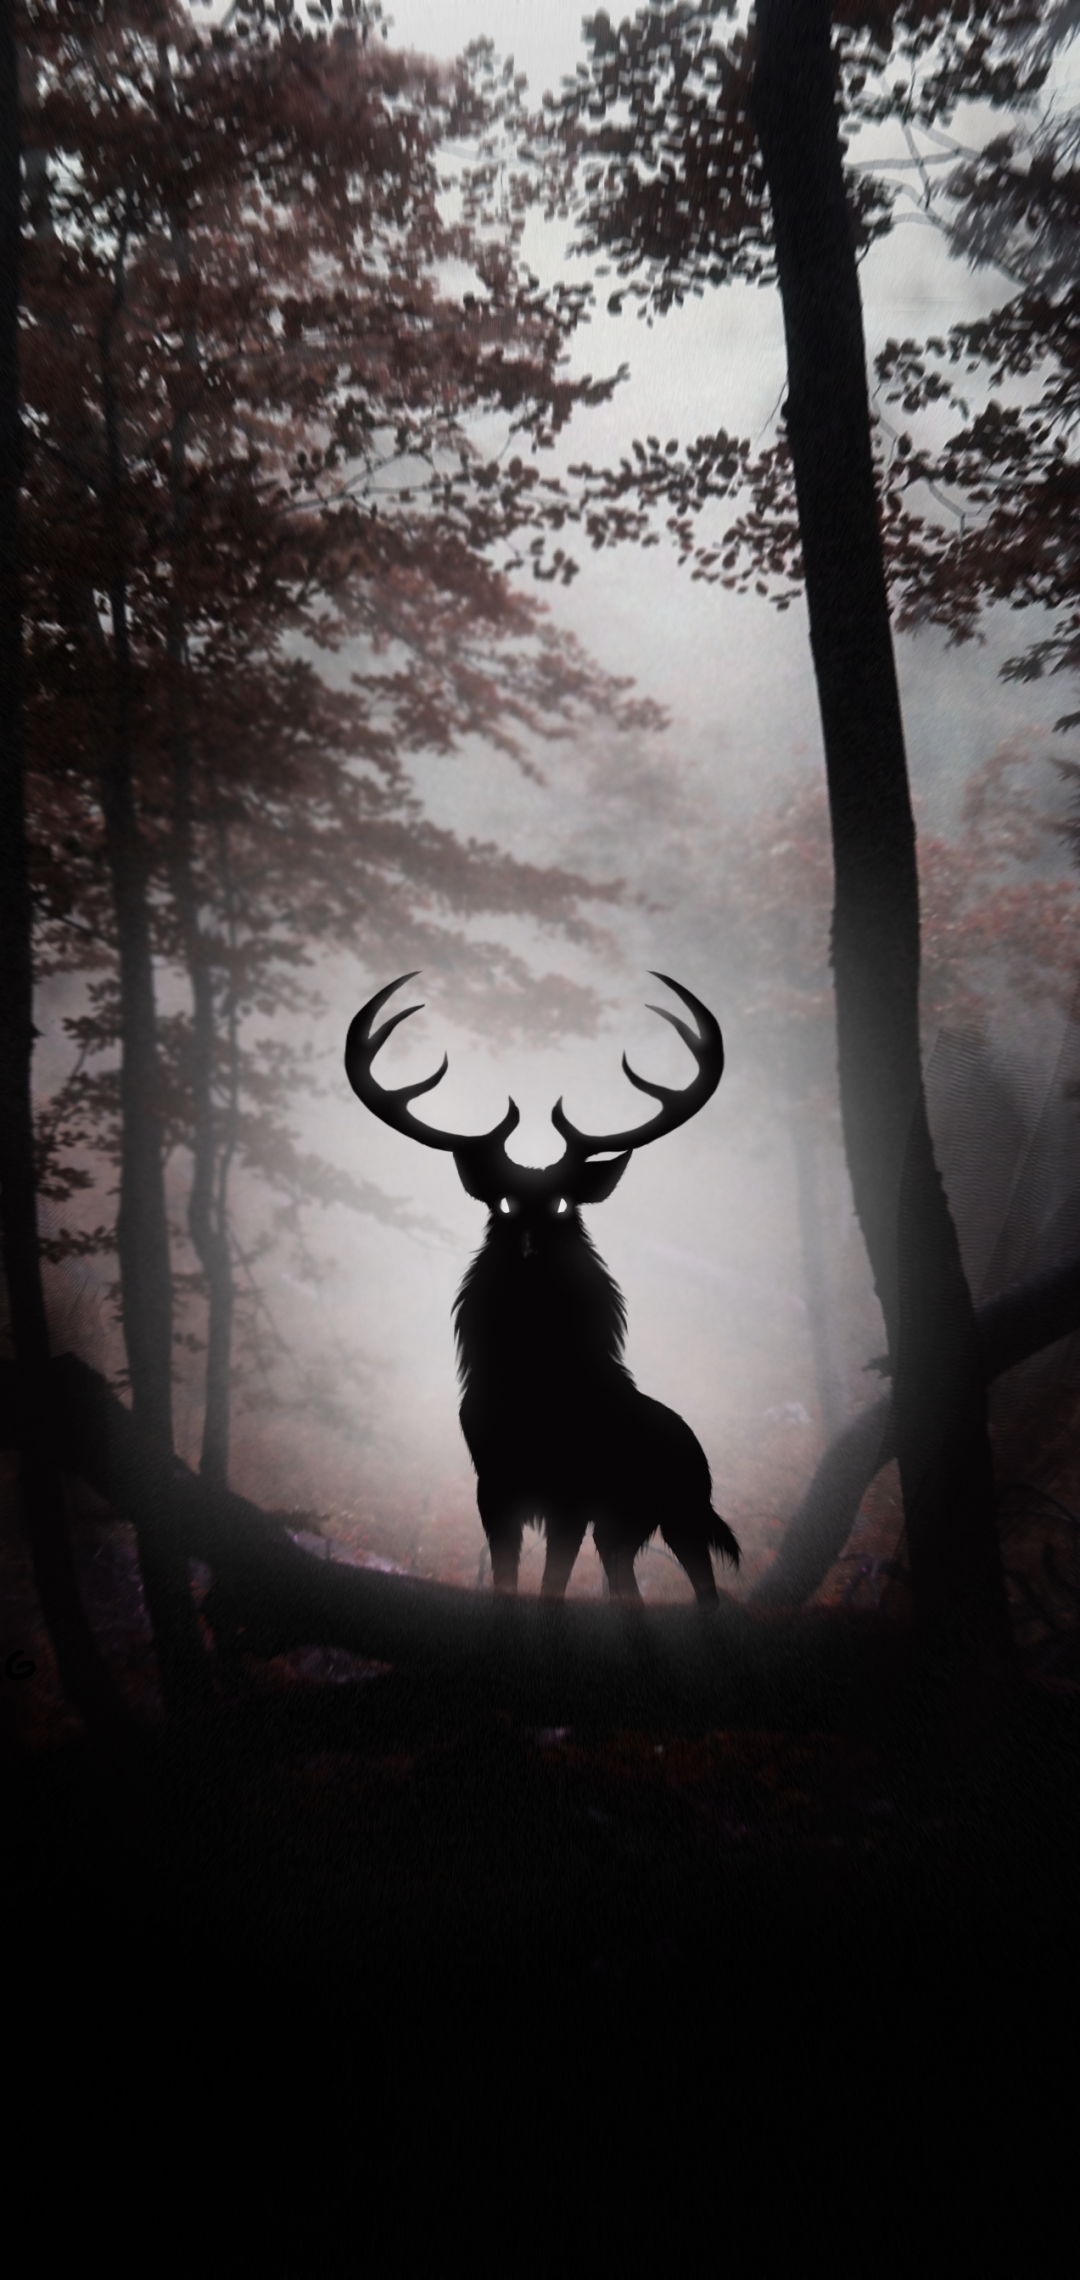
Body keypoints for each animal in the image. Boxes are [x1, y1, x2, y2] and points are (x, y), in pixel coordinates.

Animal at [344, 973, 740, 1604]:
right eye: (503, 1203)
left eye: (561, 1204)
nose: (530, 1246)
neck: (532, 1383)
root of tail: (699, 1453)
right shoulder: (493, 1485)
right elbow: (507, 1580)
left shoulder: (571, 1495)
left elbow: (552, 1587)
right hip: (625, 1528)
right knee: (627, 1589)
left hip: (681, 1511)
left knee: (705, 1590)